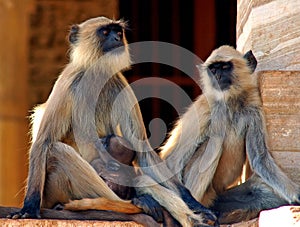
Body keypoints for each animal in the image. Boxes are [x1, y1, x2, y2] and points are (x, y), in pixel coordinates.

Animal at [8, 16, 217, 227]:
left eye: (118, 31)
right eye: (105, 32)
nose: (117, 38)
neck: (96, 75)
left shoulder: (119, 82)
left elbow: (143, 151)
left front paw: (194, 203)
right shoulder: (68, 81)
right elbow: (44, 141)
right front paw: (29, 207)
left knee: (140, 178)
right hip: (55, 191)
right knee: (59, 151)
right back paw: (133, 204)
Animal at [159, 45, 300, 223]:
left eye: (225, 67)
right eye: (213, 69)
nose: (218, 76)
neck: (231, 102)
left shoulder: (254, 108)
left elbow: (259, 158)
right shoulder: (209, 110)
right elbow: (173, 161)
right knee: (213, 144)